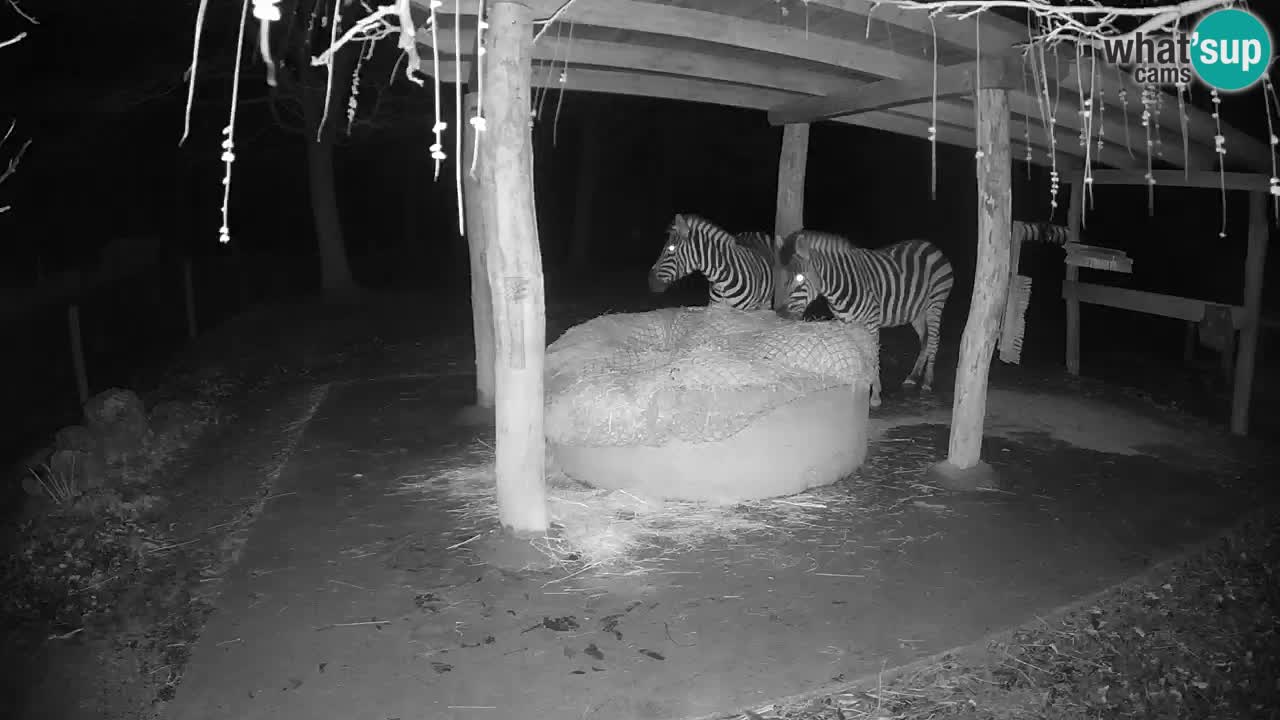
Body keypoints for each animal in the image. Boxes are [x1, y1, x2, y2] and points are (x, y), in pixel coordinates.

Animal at [773, 229, 957, 409]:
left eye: (800, 278)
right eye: (780, 276)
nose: (781, 314)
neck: (838, 287)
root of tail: (930, 245)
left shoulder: (872, 324)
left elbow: (873, 357)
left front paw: (874, 396)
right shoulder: (846, 323)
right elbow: (855, 353)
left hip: (935, 304)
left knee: (934, 340)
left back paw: (927, 381)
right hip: (917, 312)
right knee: (925, 340)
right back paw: (913, 376)